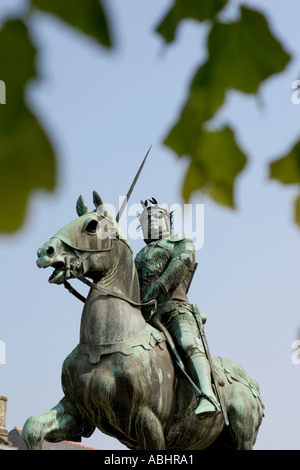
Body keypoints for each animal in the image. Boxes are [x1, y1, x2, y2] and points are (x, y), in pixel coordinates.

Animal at [21, 192, 264, 452]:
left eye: (92, 226)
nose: (45, 252)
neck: (106, 344)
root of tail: (251, 382)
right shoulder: (76, 411)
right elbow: (32, 426)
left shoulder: (148, 422)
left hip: (241, 436)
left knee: (191, 348)